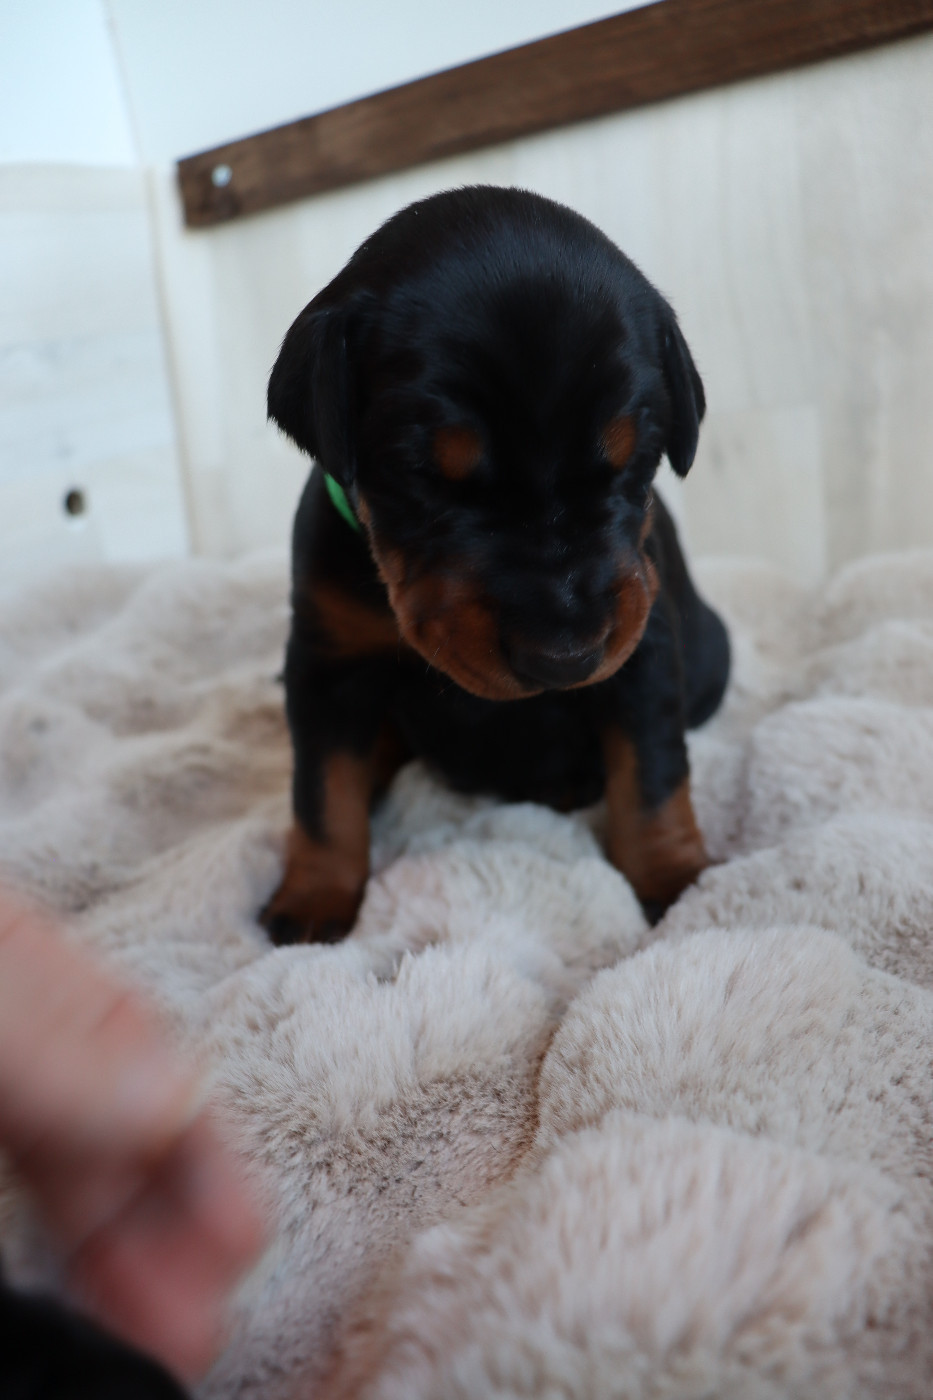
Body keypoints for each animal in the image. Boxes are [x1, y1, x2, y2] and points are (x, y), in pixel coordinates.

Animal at [261, 185, 729, 944]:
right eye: (422, 475)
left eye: (634, 458)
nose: (565, 658)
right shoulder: (327, 665)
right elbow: (323, 791)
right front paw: (313, 896)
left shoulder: (645, 648)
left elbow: (654, 775)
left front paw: (673, 878)